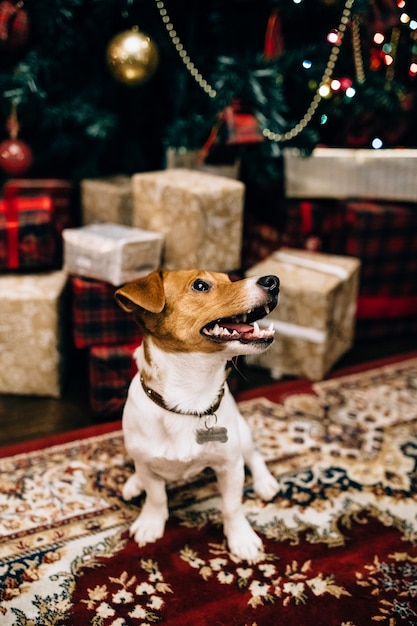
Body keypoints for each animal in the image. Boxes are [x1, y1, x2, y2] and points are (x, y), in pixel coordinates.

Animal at [114, 268, 280, 560]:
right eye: (200, 285)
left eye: (229, 278)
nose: (273, 281)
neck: (189, 399)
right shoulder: (147, 465)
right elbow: (156, 497)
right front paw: (151, 522)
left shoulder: (230, 465)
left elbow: (232, 506)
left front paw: (240, 538)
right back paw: (134, 483)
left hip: (242, 434)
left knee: (253, 455)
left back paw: (265, 482)